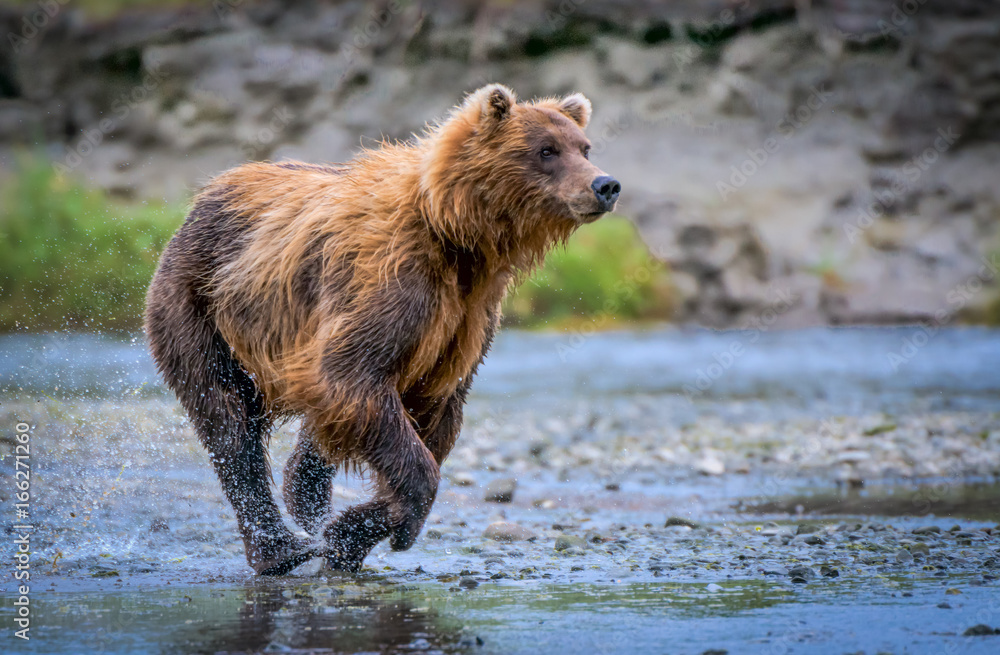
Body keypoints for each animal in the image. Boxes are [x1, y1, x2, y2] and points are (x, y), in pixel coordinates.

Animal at [145, 84, 621, 575]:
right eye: (547, 150)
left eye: (584, 147)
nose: (605, 185)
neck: (457, 237)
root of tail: (204, 195)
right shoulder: (390, 283)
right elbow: (353, 374)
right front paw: (373, 528)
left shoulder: (465, 321)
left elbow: (433, 415)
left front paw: (351, 533)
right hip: (199, 304)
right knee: (227, 419)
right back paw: (278, 547)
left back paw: (308, 502)